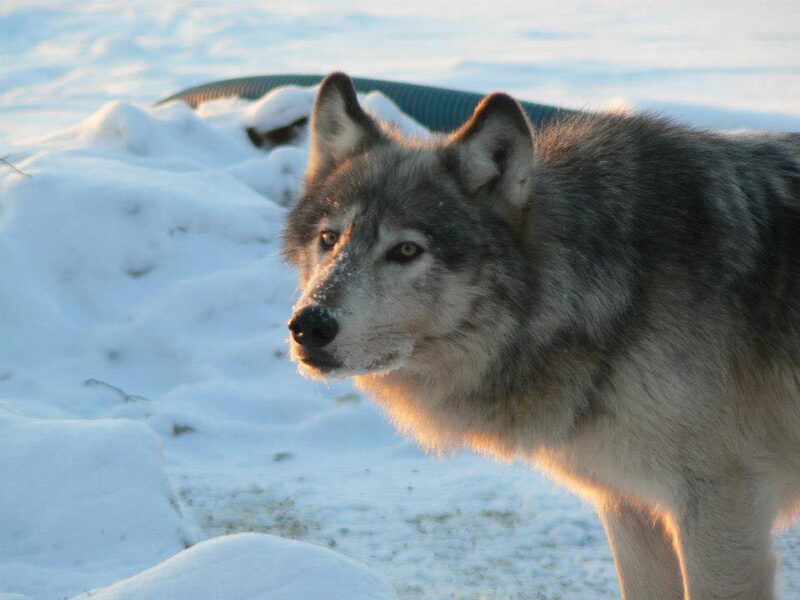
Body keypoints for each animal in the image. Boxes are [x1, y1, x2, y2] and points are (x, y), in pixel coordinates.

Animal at [282, 74, 800, 600]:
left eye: (406, 250)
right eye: (329, 240)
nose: (309, 325)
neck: (618, 296)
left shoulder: (720, 506)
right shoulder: (630, 505)